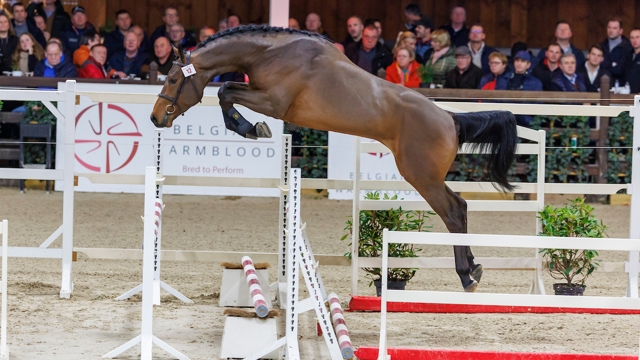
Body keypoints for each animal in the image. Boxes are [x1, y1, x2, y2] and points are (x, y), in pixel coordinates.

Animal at [151, 26, 520, 294]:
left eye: (173, 79)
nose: (156, 118)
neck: (271, 53)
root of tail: (449, 118)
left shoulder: (274, 102)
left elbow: (225, 90)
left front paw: (250, 128)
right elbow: (225, 89)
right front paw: (249, 127)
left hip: (422, 176)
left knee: (454, 212)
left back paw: (467, 276)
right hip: (427, 176)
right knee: (462, 206)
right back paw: (474, 268)